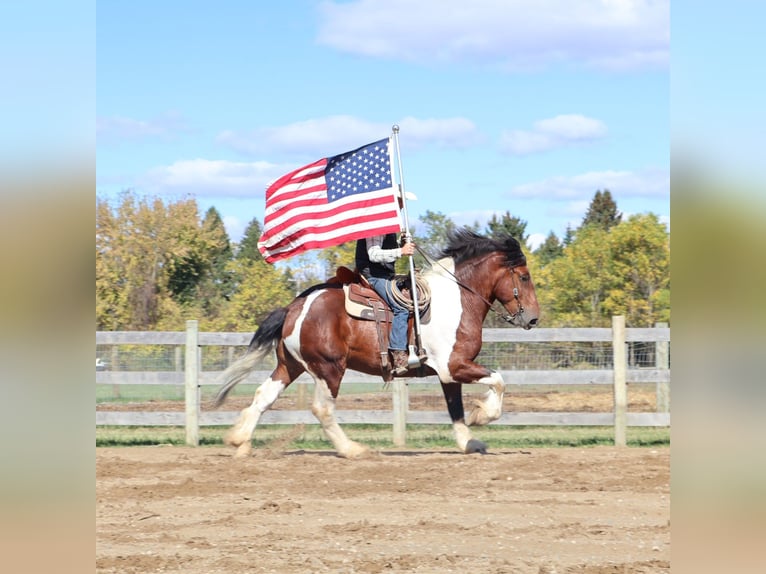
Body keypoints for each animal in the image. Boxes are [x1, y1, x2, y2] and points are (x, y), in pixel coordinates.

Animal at [212, 228, 540, 458]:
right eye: (524, 277)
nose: (533, 318)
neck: (455, 298)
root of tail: (294, 307)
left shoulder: (448, 373)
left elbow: (455, 409)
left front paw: (469, 442)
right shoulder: (455, 366)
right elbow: (498, 381)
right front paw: (482, 415)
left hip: (290, 365)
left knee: (263, 396)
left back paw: (240, 441)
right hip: (329, 369)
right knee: (323, 410)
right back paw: (352, 450)